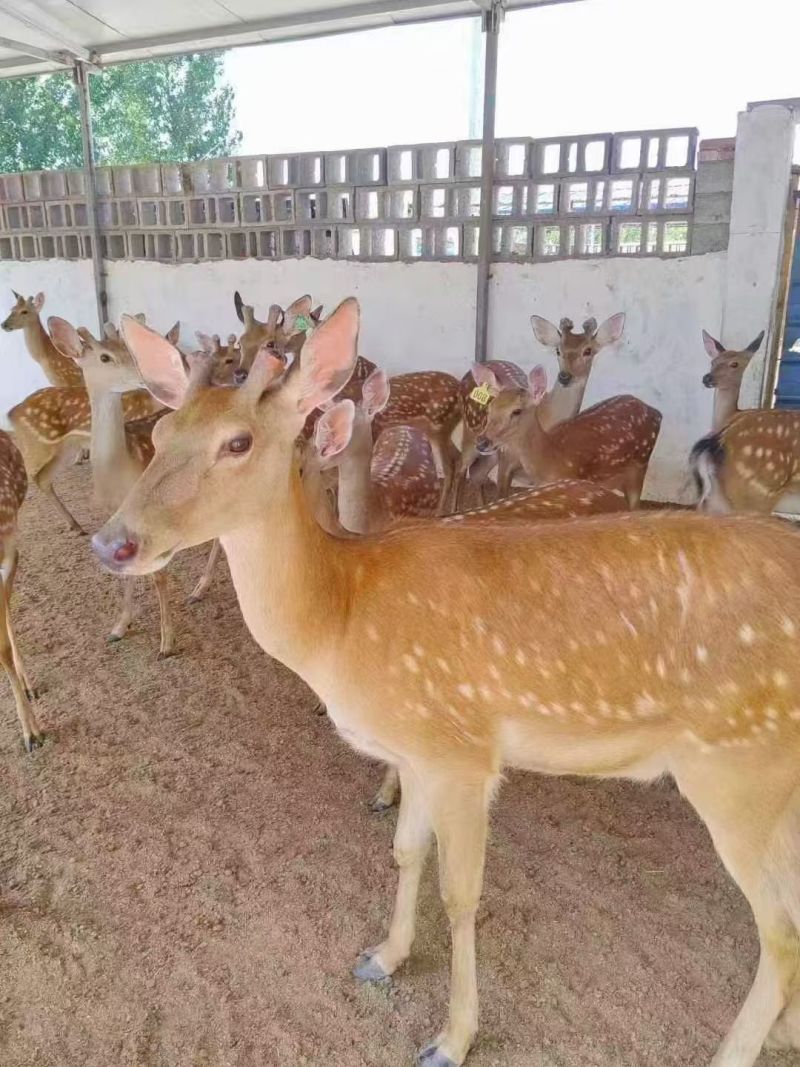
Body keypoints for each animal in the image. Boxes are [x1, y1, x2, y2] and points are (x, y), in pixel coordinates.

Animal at [48, 317, 181, 655]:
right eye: (105, 357)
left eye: (127, 349)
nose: (143, 376)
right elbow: (125, 575)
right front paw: (119, 628)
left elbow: (158, 578)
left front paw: (166, 643)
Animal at [454, 312, 626, 508]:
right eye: (558, 350)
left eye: (588, 351)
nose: (564, 376)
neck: (546, 416)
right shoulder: (506, 459)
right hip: (471, 432)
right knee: (460, 469)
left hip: (489, 454)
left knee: (477, 473)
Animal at [472, 363, 661, 509]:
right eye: (490, 407)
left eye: (517, 411)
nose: (482, 442)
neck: (552, 459)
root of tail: (656, 412)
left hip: (640, 467)